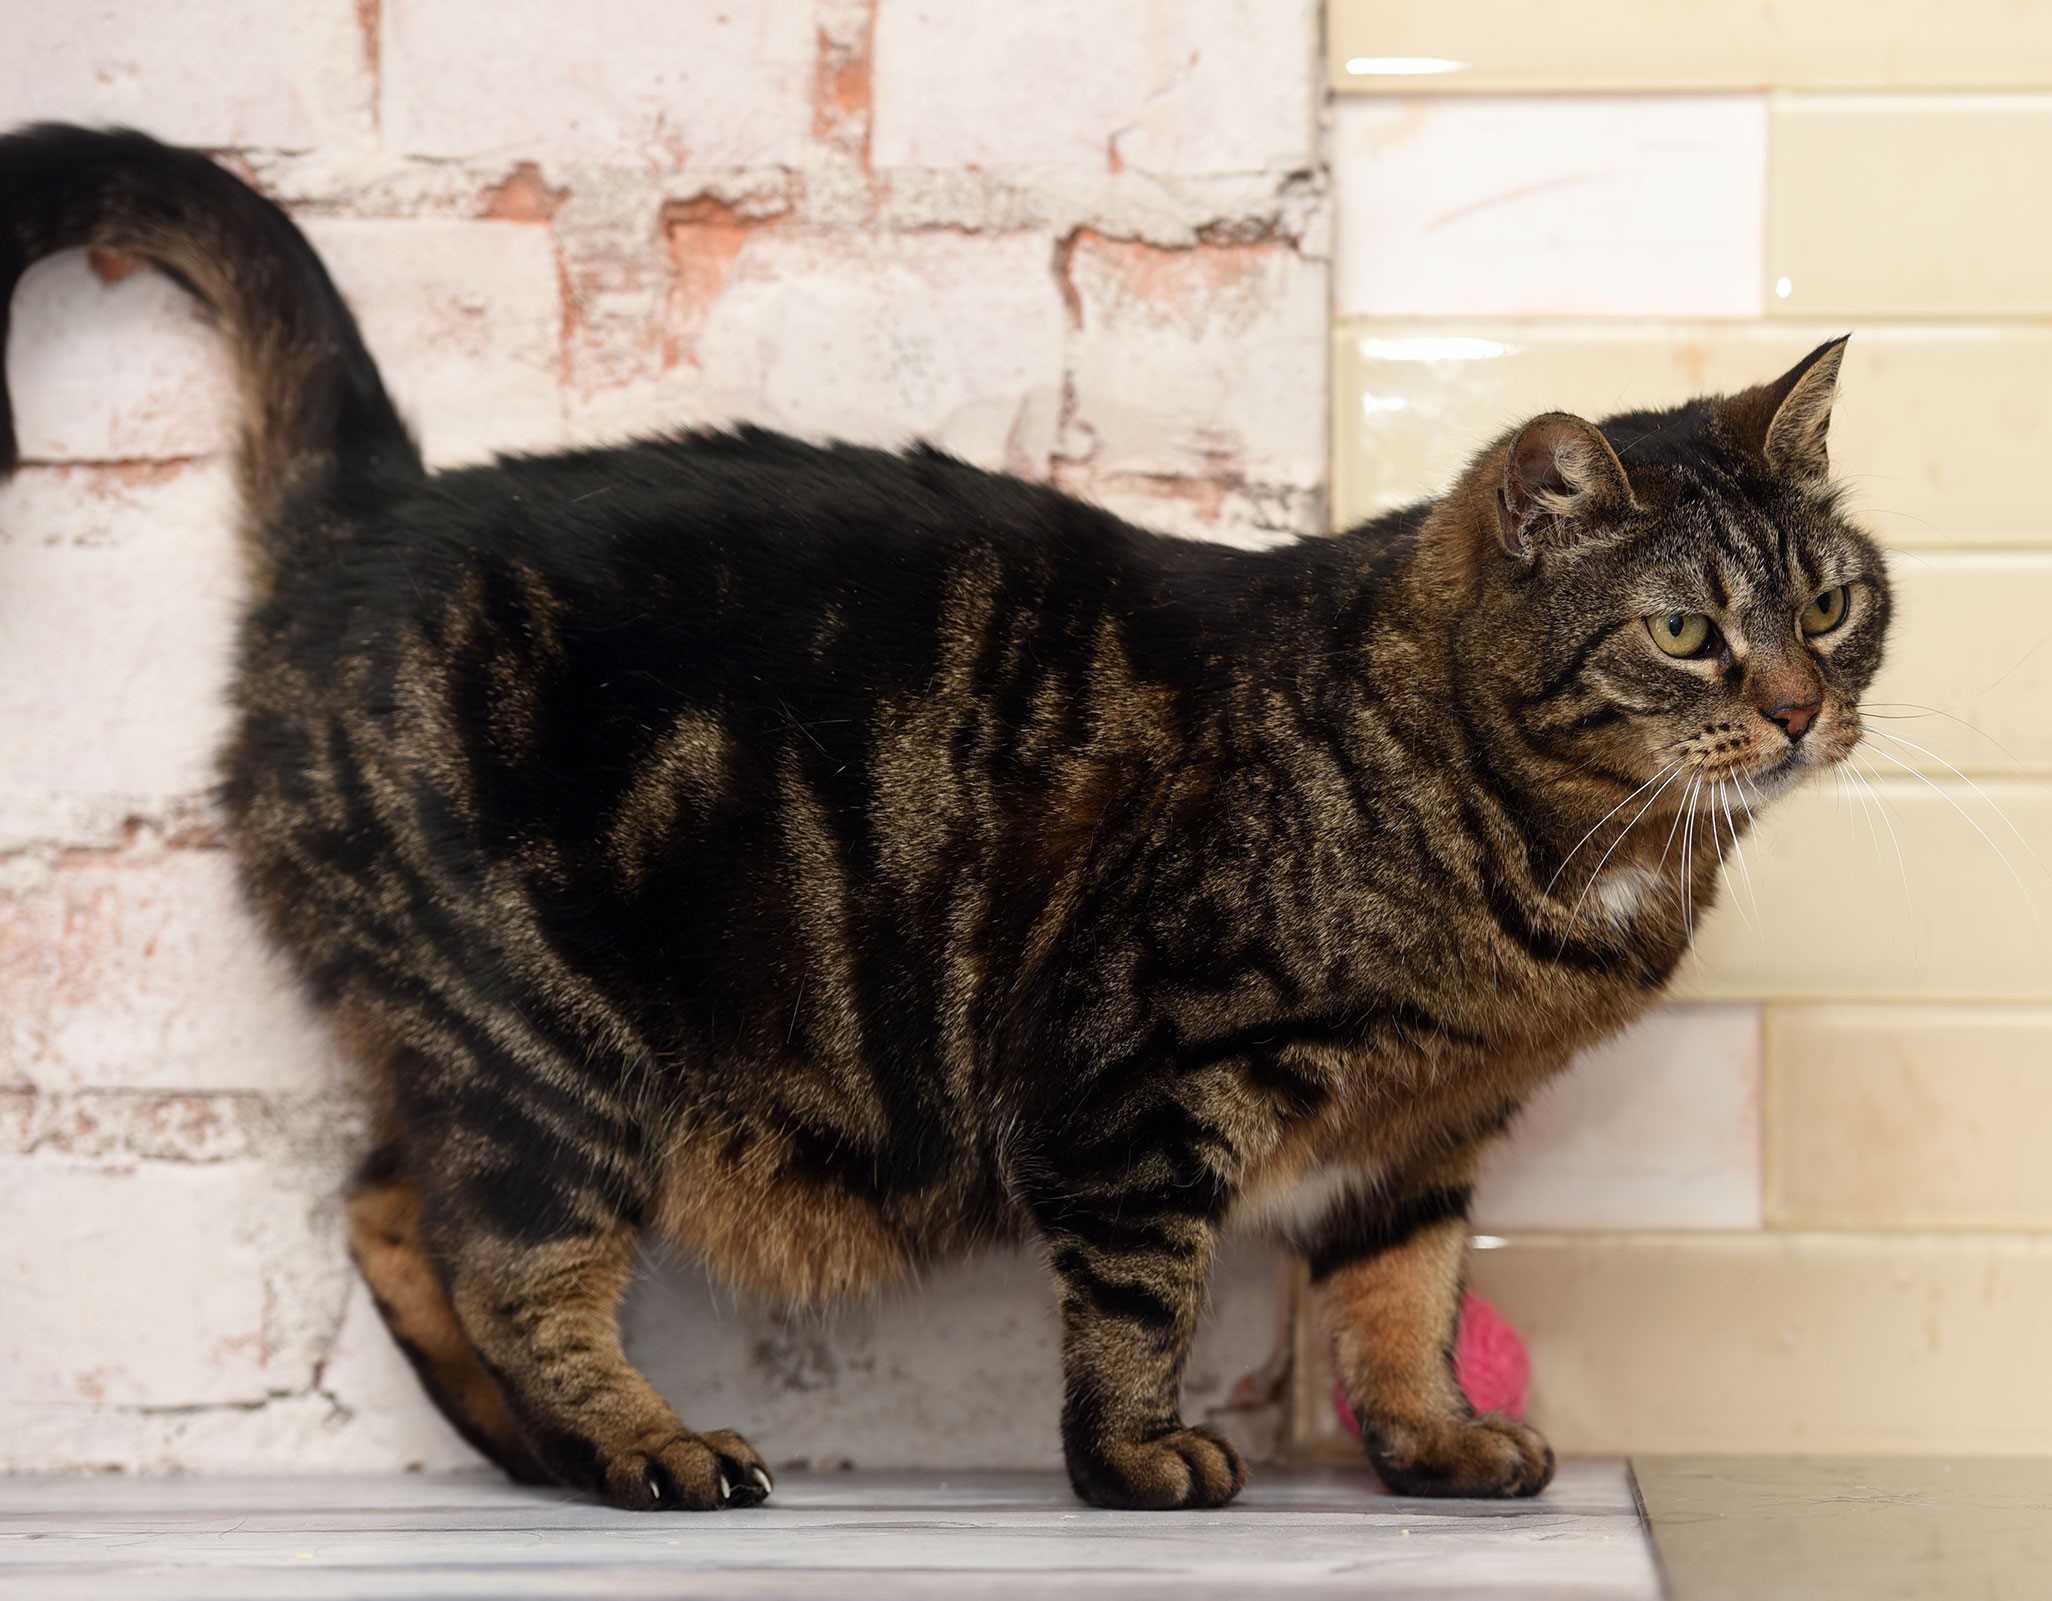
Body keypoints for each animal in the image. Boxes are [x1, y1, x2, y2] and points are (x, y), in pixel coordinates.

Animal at [0, 128, 1887, 1510]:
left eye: (1834, 599)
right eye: (1684, 629)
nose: (1804, 702)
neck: (1559, 871)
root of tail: (377, 514)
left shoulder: (1422, 1135)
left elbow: (1401, 1295)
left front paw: (1426, 1437)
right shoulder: (1146, 1074)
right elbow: (1141, 1291)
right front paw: (1137, 1460)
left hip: (478, 1045)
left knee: (396, 1210)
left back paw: (531, 1450)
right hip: (541, 1037)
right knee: (510, 1257)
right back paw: (639, 1446)